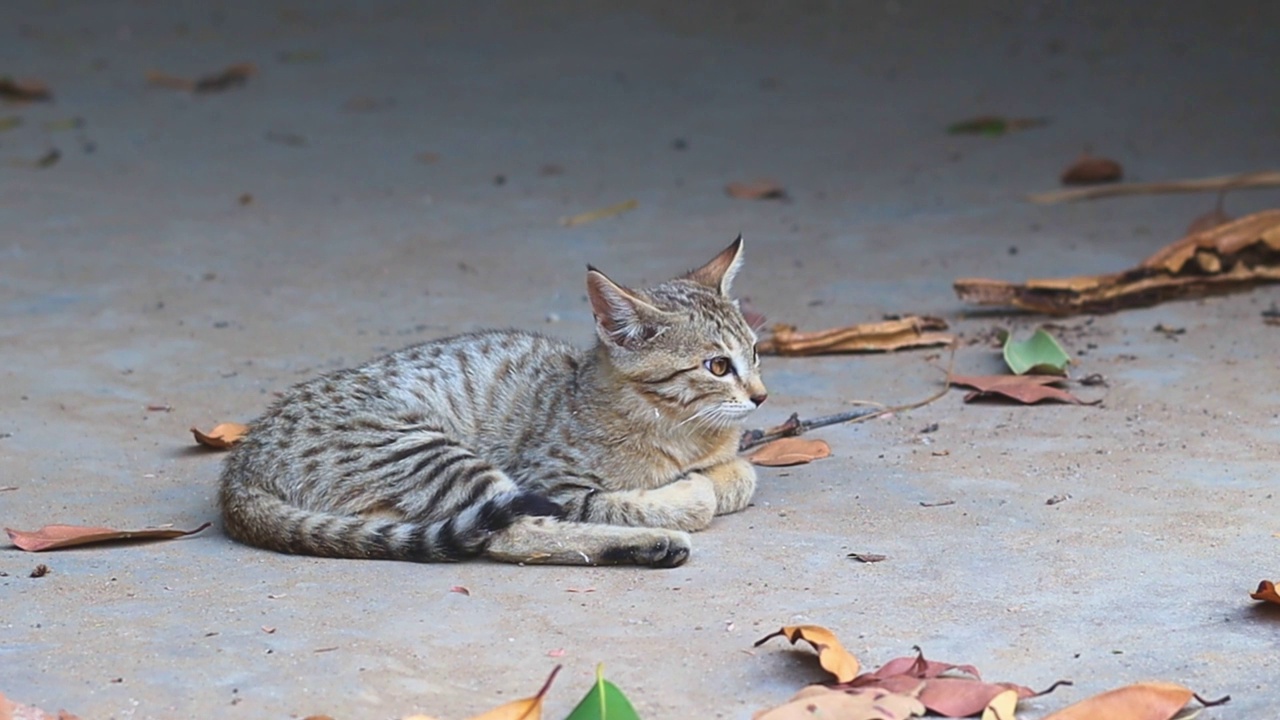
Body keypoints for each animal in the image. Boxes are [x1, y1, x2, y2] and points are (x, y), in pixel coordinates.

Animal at [215, 238, 762, 563]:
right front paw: (690, 494)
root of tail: (240, 467)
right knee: (510, 534)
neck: (684, 430)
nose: (761, 396)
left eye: (755, 352)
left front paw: (722, 476)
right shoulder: (552, 482)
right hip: (424, 448)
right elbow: (626, 503)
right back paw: (652, 544)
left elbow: (743, 474)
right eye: (717, 366)